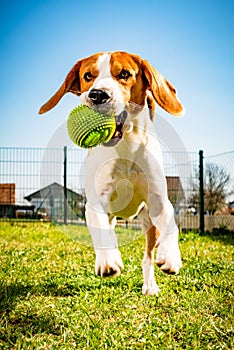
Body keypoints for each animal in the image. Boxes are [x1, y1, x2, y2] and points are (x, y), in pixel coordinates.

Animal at [38, 50, 185, 294]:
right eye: (88, 76)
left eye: (124, 74)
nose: (98, 95)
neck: (126, 146)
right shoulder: (95, 202)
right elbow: (100, 228)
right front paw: (108, 261)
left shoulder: (159, 201)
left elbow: (170, 224)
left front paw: (171, 256)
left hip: (149, 224)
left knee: (147, 257)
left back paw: (150, 285)